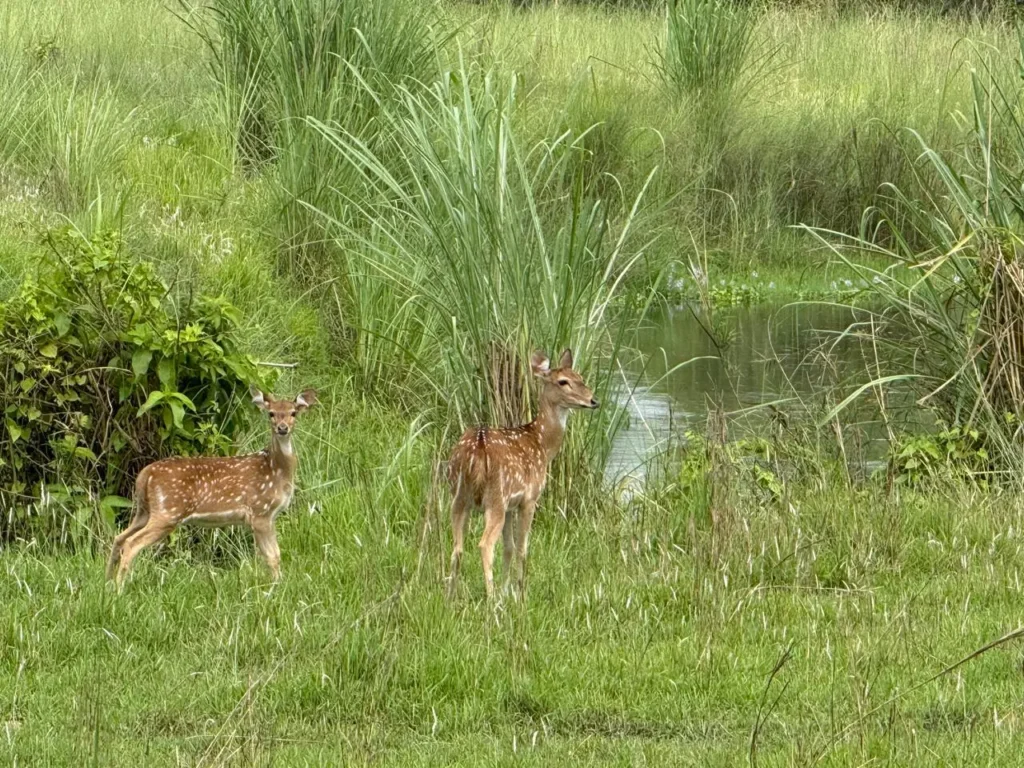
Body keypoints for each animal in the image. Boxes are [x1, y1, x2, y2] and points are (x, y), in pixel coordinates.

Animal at [105, 385, 317, 589]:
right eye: (271, 413)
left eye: (293, 413)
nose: (282, 428)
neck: (276, 469)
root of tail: (145, 474)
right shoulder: (260, 512)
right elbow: (272, 556)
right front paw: (276, 588)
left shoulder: (269, 517)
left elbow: (276, 555)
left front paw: (280, 584)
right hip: (167, 512)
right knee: (131, 543)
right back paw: (118, 589)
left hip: (145, 511)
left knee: (119, 538)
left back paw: (107, 584)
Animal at [446, 348, 599, 600]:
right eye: (563, 381)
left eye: (580, 377)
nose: (593, 400)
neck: (542, 444)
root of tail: (477, 449)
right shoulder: (529, 499)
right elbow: (521, 547)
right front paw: (519, 593)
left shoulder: (511, 505)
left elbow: (508, 548)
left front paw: (505, 591)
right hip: (495, 498)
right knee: (485, 545)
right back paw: (490, 600)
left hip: (459, 496)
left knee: (457, 547)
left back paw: (450, 595)